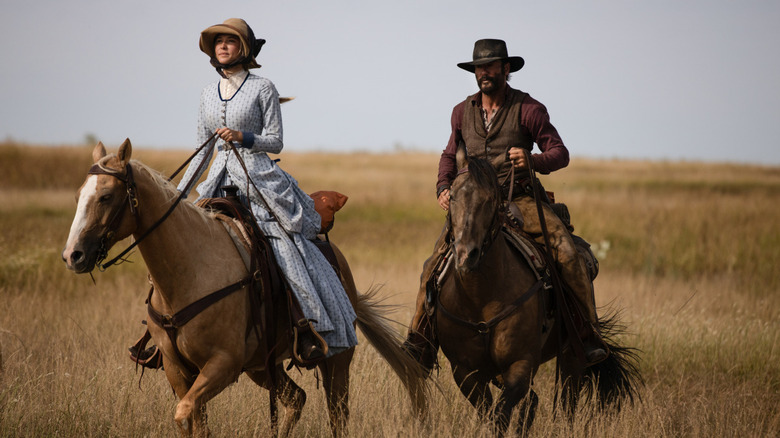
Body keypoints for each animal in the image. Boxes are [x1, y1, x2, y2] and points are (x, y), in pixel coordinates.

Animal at [432, 147, 640, 434]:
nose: (466, 255)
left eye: (490, 199)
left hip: (572, 358)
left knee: (566, 404)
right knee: (533, 401)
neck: (478, 298)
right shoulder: (466, 373)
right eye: (452, 196)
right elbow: (491, 414)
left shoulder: (520, 365)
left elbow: (500, 416)